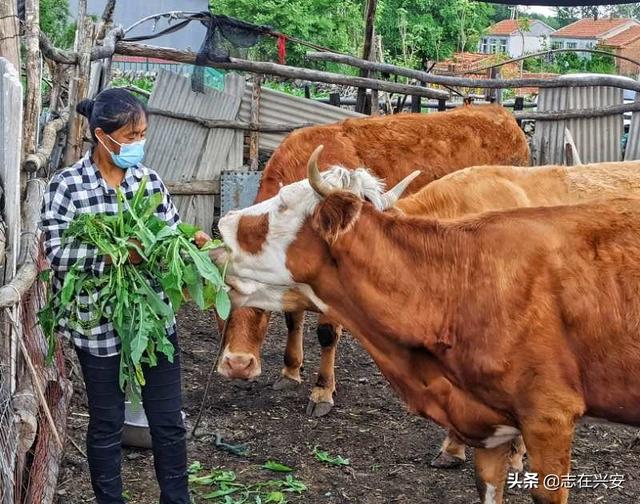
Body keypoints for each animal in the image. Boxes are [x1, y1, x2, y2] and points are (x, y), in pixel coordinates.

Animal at [216, 103, 528, 422]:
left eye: (261, 309)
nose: (238, 365)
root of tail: (500, 114)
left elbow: (326, 334)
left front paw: (322, 391)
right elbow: (293, 318)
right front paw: (290, 372)